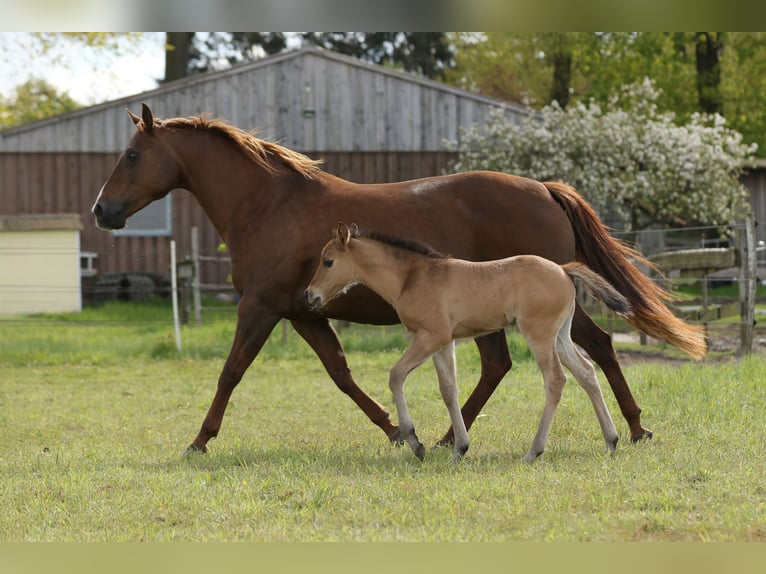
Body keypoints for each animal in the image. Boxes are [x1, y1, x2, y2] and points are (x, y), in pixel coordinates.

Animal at [308, 223, 632, 466]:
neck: (413, 277)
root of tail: (564, 270)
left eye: (328, 261)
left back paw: (533, 451)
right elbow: (448, 390)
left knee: (556, 379)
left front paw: (415, 442)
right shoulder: (443, 343)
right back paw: (611, 441)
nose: (309, 296)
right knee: (587, 372)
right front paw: (459, 449)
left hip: (538, 334)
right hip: (561, 336)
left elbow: (396, 375)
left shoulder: (430, 336)